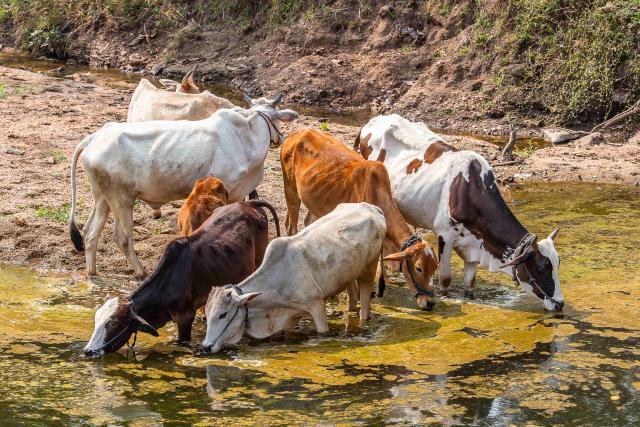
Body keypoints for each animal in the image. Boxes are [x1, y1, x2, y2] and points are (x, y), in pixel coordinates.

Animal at [69, 95, 298, 278]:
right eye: (277, 118)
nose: (279, 139)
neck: (246, 137)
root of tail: (95, 138)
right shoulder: (230, 192)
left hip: (102, 197)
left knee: (90, 233)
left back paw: (92, 273)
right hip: (121, 199)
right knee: (122, 237)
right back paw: (141, 272)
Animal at [83, 200, 281, 357]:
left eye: (113, 324)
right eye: (97, 320)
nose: (88, 351)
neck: (167, 283)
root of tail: (248, 204)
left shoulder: (185, 317)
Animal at [201, 202, 386, 354]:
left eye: (223, 314)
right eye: (207, 315)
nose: (206, 347)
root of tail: (372, 207)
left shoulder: (316, 305)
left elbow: (323, 332)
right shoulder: (289, 315)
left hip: (369, 269)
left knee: (365, 304)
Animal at [280, 129, 438, 310]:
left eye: (435, 267)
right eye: (418, 268)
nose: (430, 302)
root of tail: (299, 132)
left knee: (309, 223)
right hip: (290, 189)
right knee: (292, 227)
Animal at [355, 114, 564, 311]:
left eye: (557, 263)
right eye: (541, 267)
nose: (560, 304)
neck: (470, 189)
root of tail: (372, 122)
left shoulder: (474, 245)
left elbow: (469, 283)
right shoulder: (445, 236)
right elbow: (445, 279)